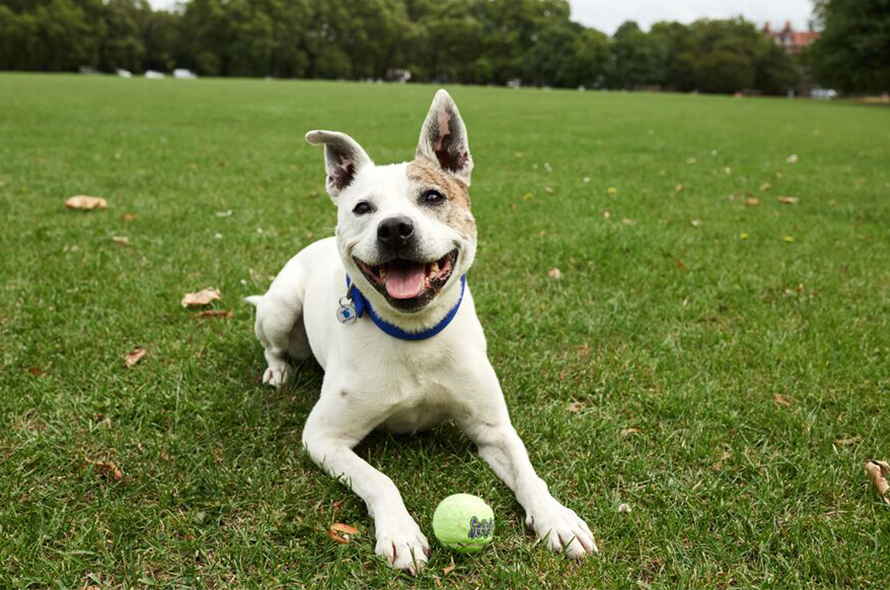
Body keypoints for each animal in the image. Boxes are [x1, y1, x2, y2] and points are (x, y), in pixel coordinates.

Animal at [245, 90, 596, 576]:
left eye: (432, 196)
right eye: (363, 208)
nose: (394, 228)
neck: (415, 334)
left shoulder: (494, 429)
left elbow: (529, 473)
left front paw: (556, 518)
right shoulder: (323, 438)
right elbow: (379, 480)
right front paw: (400, 533)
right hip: (279, 310)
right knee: (273, 346)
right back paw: (277, 371)